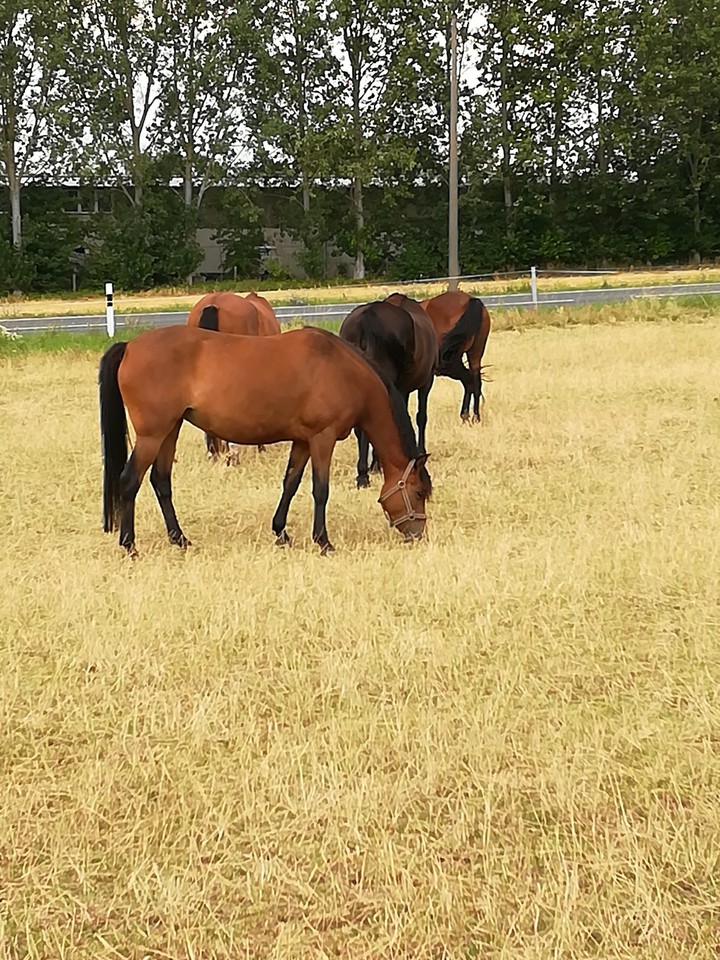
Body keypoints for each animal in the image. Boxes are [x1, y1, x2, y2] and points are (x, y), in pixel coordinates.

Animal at [98, 325, 432, 557]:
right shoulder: (322, 439)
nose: (417, 534)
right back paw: (129, 545)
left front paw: (281, 533)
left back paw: (179, 539)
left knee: (161, 481)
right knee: (129, 481)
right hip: (152, 435)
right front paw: (323, 541)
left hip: (170, 429)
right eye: (417, 493)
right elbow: (320, 490)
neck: (342, 370)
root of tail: (130, 347)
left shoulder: (303, 441)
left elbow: (290, 483)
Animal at [420, 290, 491, 423]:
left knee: (468, 380)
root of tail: (470, 300)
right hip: (475, 353)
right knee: (474, 381)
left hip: (450, 360)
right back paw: (473, 417)